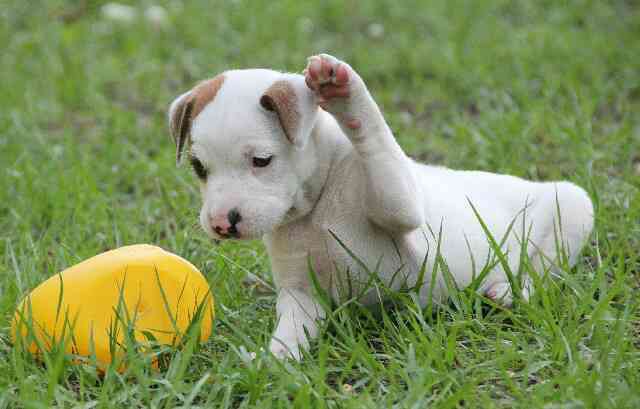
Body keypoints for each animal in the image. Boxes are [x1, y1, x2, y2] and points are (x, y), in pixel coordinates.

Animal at [168, 52, 592, 358]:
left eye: (261, 160)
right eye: (198, 167)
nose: (222, 223)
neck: (317, 203)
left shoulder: (402, 209)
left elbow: (376, 143)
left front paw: (344, 91)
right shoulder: (301, 296)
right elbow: (291, 331)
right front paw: (274, 360)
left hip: (573, 207)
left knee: (540, 274)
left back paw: (506, 291)